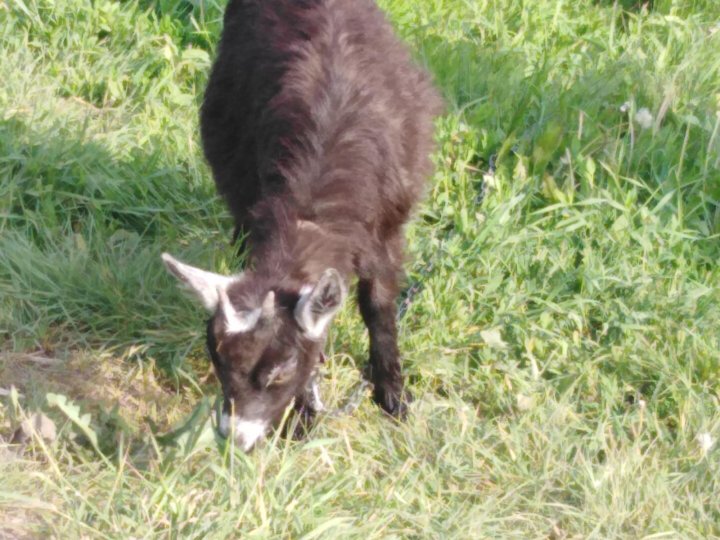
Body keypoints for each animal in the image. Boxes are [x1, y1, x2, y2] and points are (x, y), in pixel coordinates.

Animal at [162, 0, 442, 451]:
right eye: (217, 361)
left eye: (280, 371)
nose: (234, 437)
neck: (313, 212)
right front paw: (305, 413)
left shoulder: (386, 229)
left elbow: (378, 306)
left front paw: (393, 395)